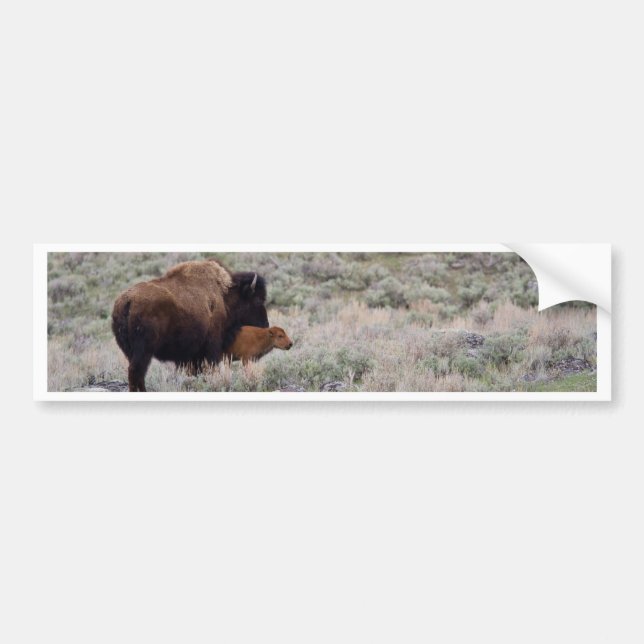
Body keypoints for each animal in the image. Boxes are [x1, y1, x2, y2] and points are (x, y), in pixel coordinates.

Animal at [112, 258, 268, 391]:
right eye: (258, 300)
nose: (266, 324)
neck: (224, 297)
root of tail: (128, 301)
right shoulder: (212, 347)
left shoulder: (192, 356)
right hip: (144, 351)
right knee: (136, 373)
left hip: (130, 351)